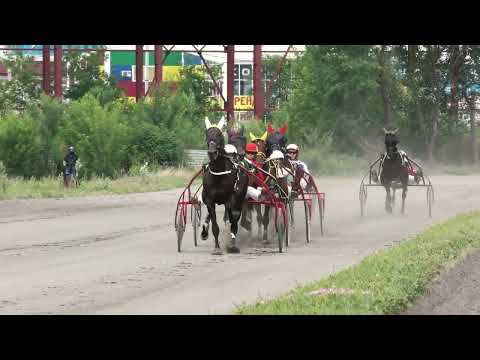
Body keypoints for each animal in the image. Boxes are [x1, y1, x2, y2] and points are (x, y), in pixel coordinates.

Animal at [201, 118, 249, 253]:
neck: (219, 175)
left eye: (220, 135)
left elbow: (234, 218)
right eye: (207, 135)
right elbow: (214, 223)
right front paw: (217, 247)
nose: (212, 152)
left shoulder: (231, 198)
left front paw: (232, 245)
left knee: (234, 215)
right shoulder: (209, 200)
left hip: (239, 197)